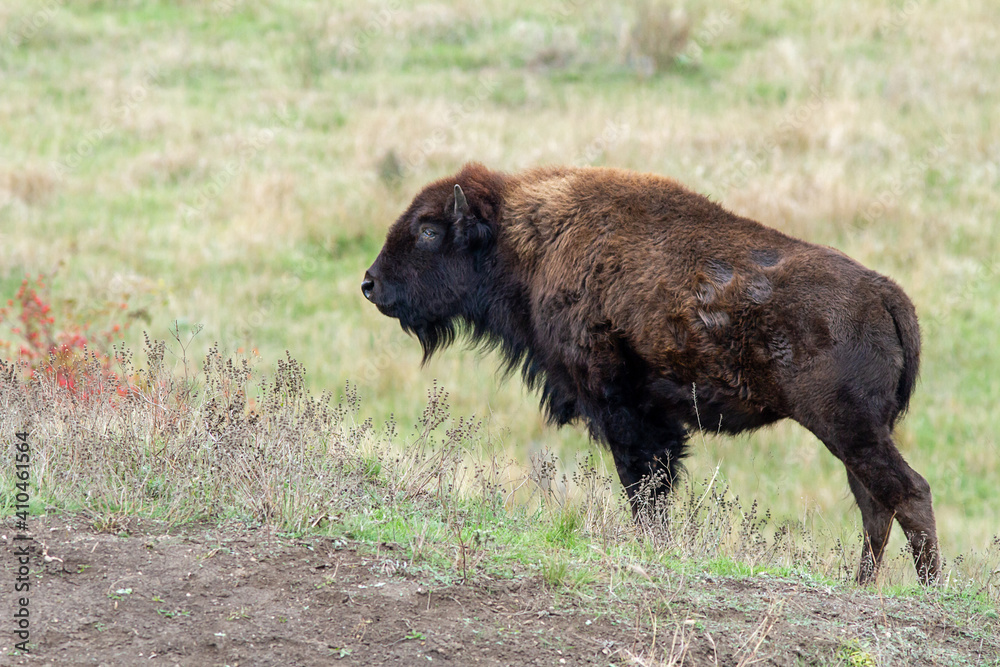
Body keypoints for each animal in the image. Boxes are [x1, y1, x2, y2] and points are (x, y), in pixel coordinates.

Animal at [361, 162, 939, 585]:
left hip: (847, 426)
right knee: (875, 504)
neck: (527, 243)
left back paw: (929, 587)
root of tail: (885, 293)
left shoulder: (621, 406)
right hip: (856, 434)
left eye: (429, 230)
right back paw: (860, 585)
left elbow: (644, 485)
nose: (370, 283)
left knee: (907, 492)